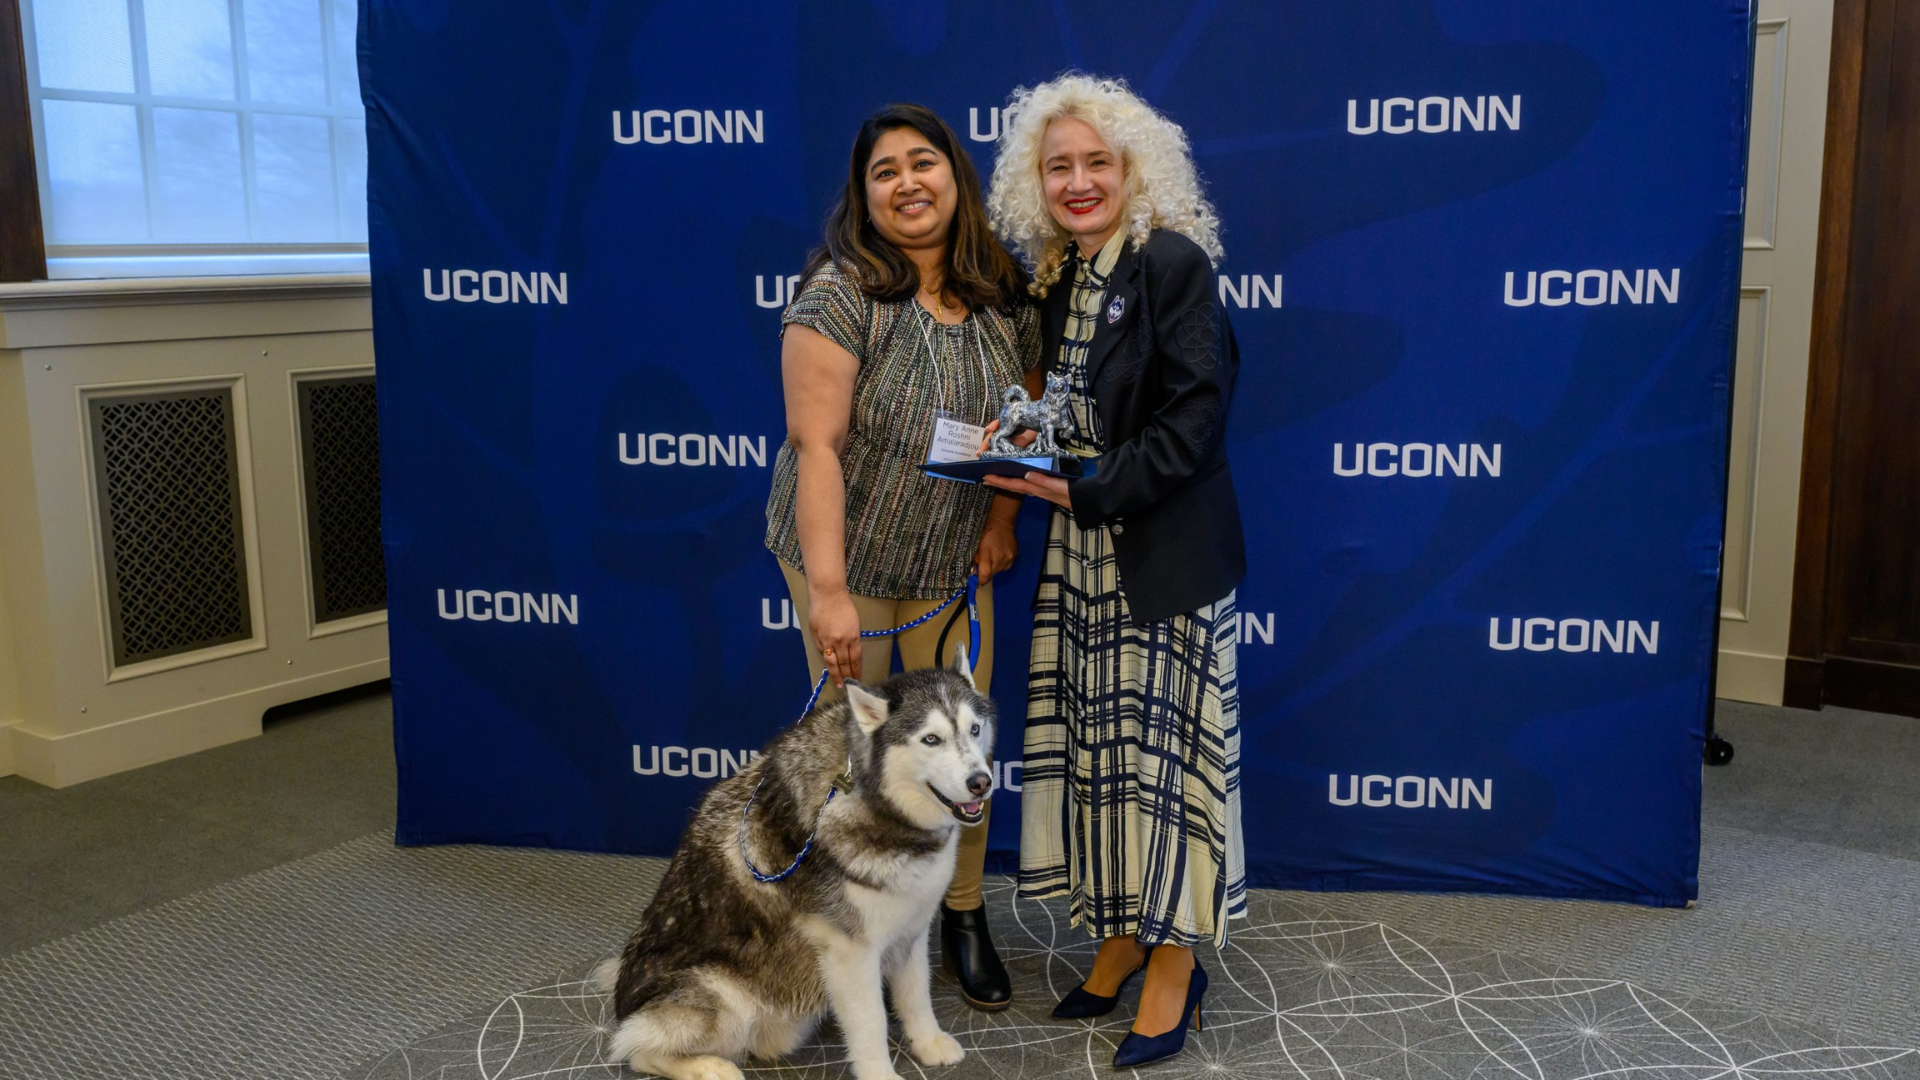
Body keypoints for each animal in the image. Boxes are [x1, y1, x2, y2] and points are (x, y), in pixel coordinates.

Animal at [595, 645, 990, 1076]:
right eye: (931, 739)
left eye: (974, 730)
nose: (982, 782)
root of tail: (623, 1000)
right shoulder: (851, 952)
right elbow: (871, 1023)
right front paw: (881, 1074)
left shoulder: (911, 929)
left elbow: (917, 996)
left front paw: (929, 1043)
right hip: (725, 996)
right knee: (636, 1049)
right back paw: (710, 1067)